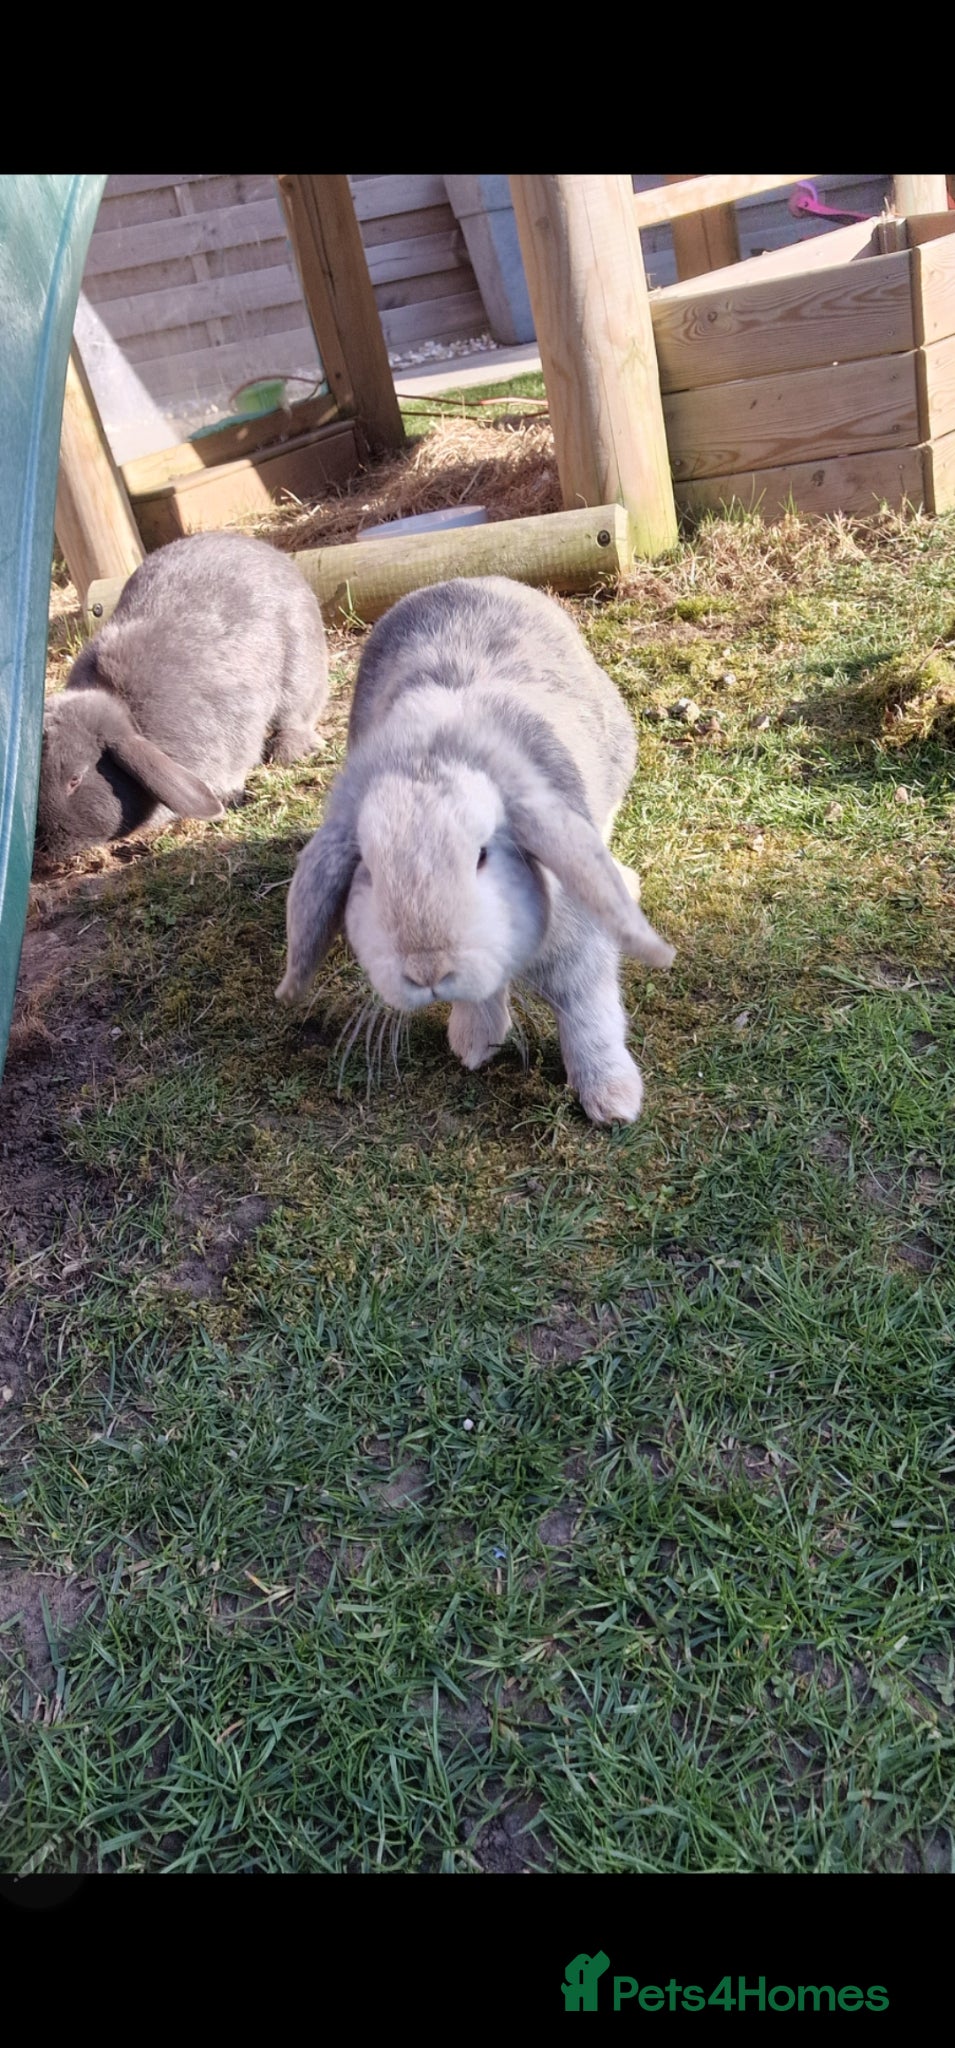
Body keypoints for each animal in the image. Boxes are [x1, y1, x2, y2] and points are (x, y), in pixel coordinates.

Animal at [34, 530, 329, 866]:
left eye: (75, 779)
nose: (42, 848)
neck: (131, 717)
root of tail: (268, 552)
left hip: (300, 663)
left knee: (296, 713)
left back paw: (289, 750)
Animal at [276, 576, 675, 1124]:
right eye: (369, 872)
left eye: (483, 855)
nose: (428, 970)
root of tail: (468, 580)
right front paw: (474, 1043)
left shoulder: (579, 949)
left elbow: (589, 1013)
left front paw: (613, 1100)